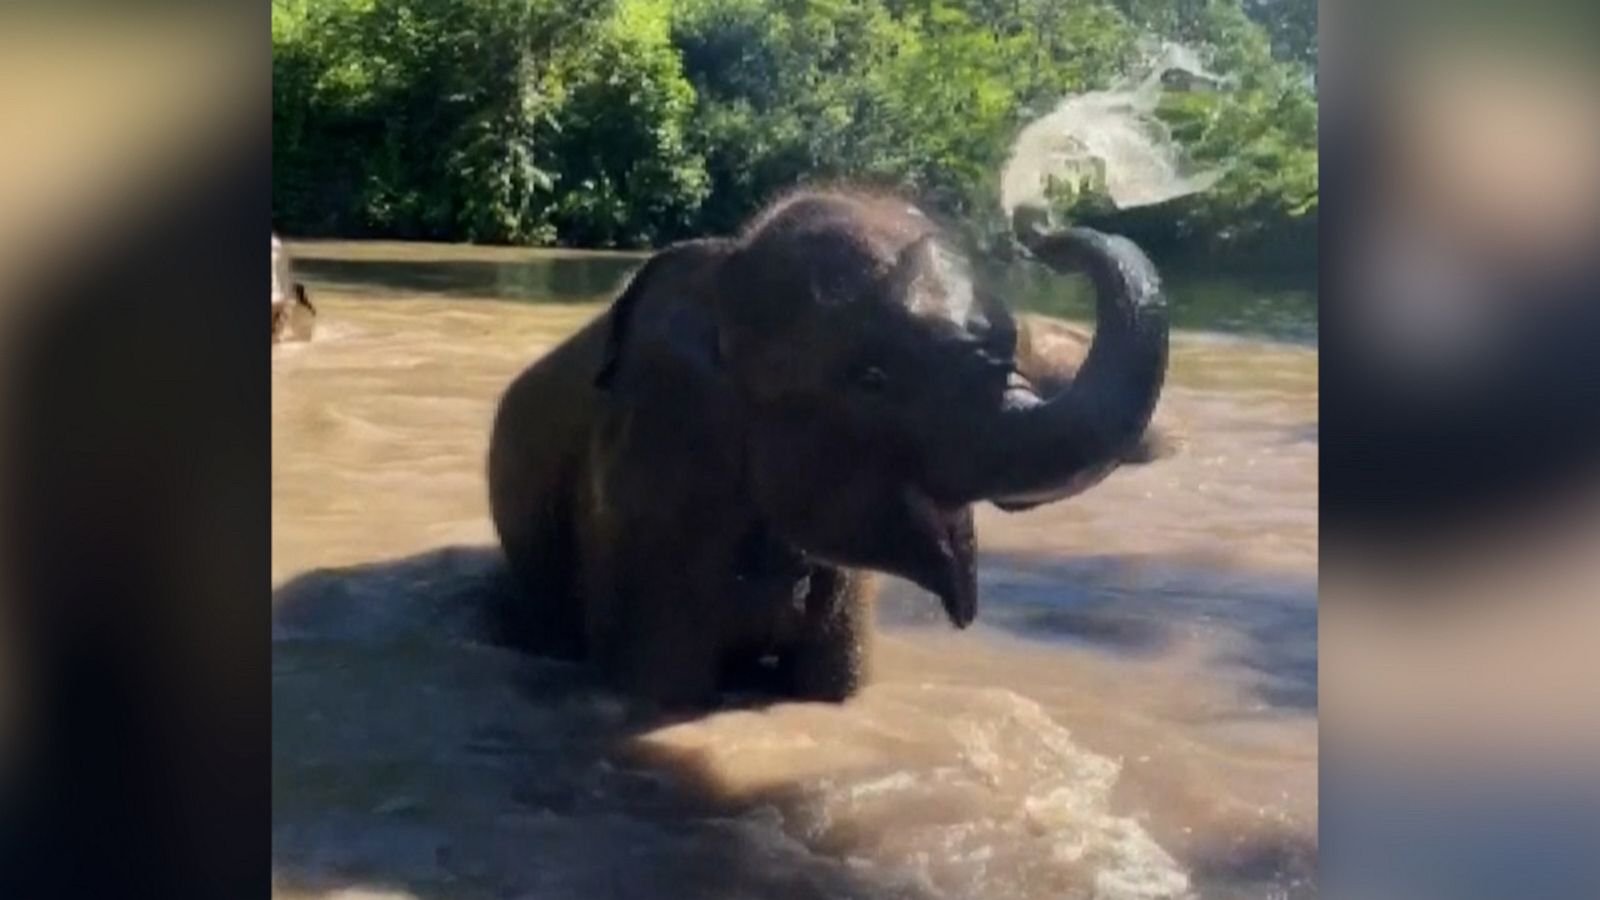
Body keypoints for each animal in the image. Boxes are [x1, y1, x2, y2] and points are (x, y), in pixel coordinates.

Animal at [480, 188, 1171, 704]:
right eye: (872, 379)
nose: (1044, 232)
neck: (724, 272)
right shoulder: (640, 494)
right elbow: (660, 687)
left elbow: (834, 690)